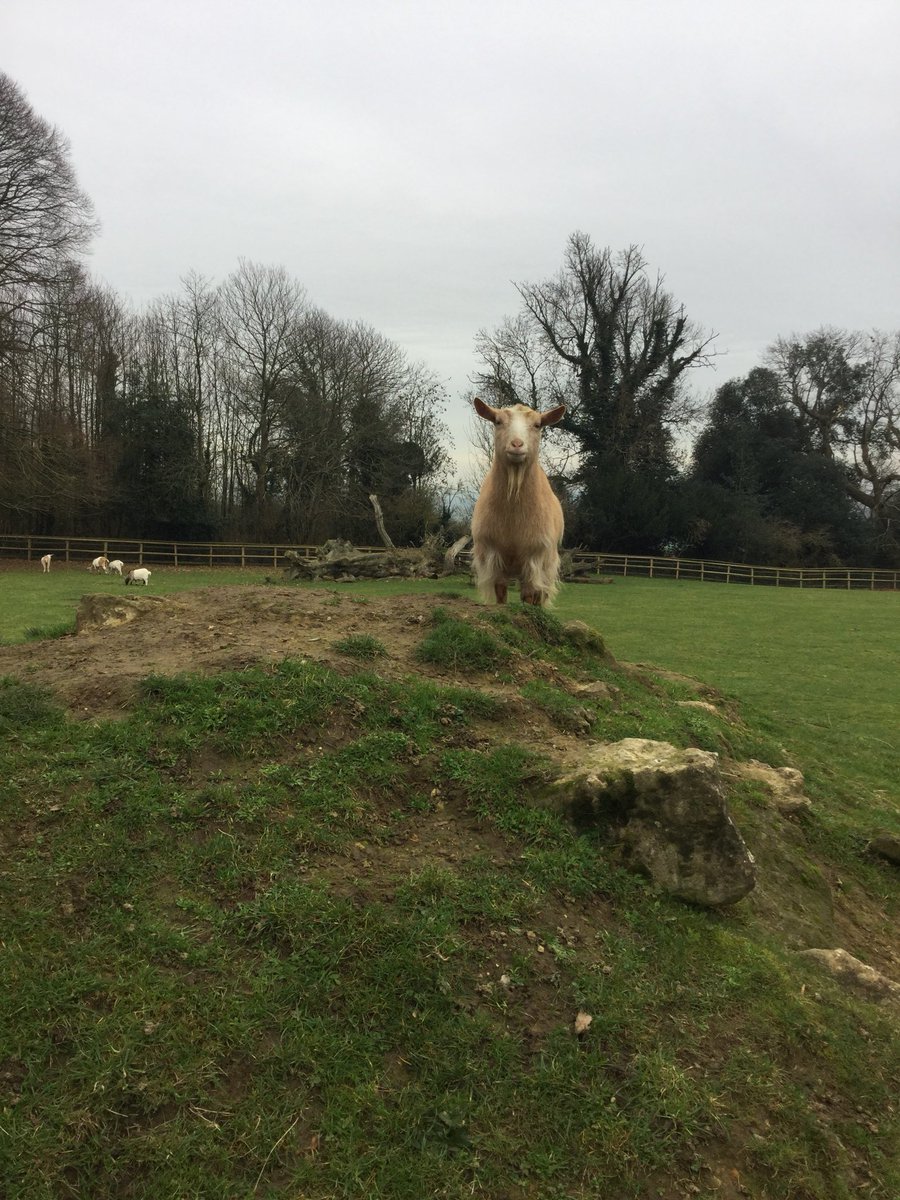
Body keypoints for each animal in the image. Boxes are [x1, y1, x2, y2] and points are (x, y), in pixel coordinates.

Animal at [470, 398, 566, 606]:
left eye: (538, 425)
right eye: (498, 421)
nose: (516, 444)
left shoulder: (534, 558)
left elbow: (529, 596)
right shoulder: (493, 554)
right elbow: (500, 591)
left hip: (547, 565)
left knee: (538, 596)